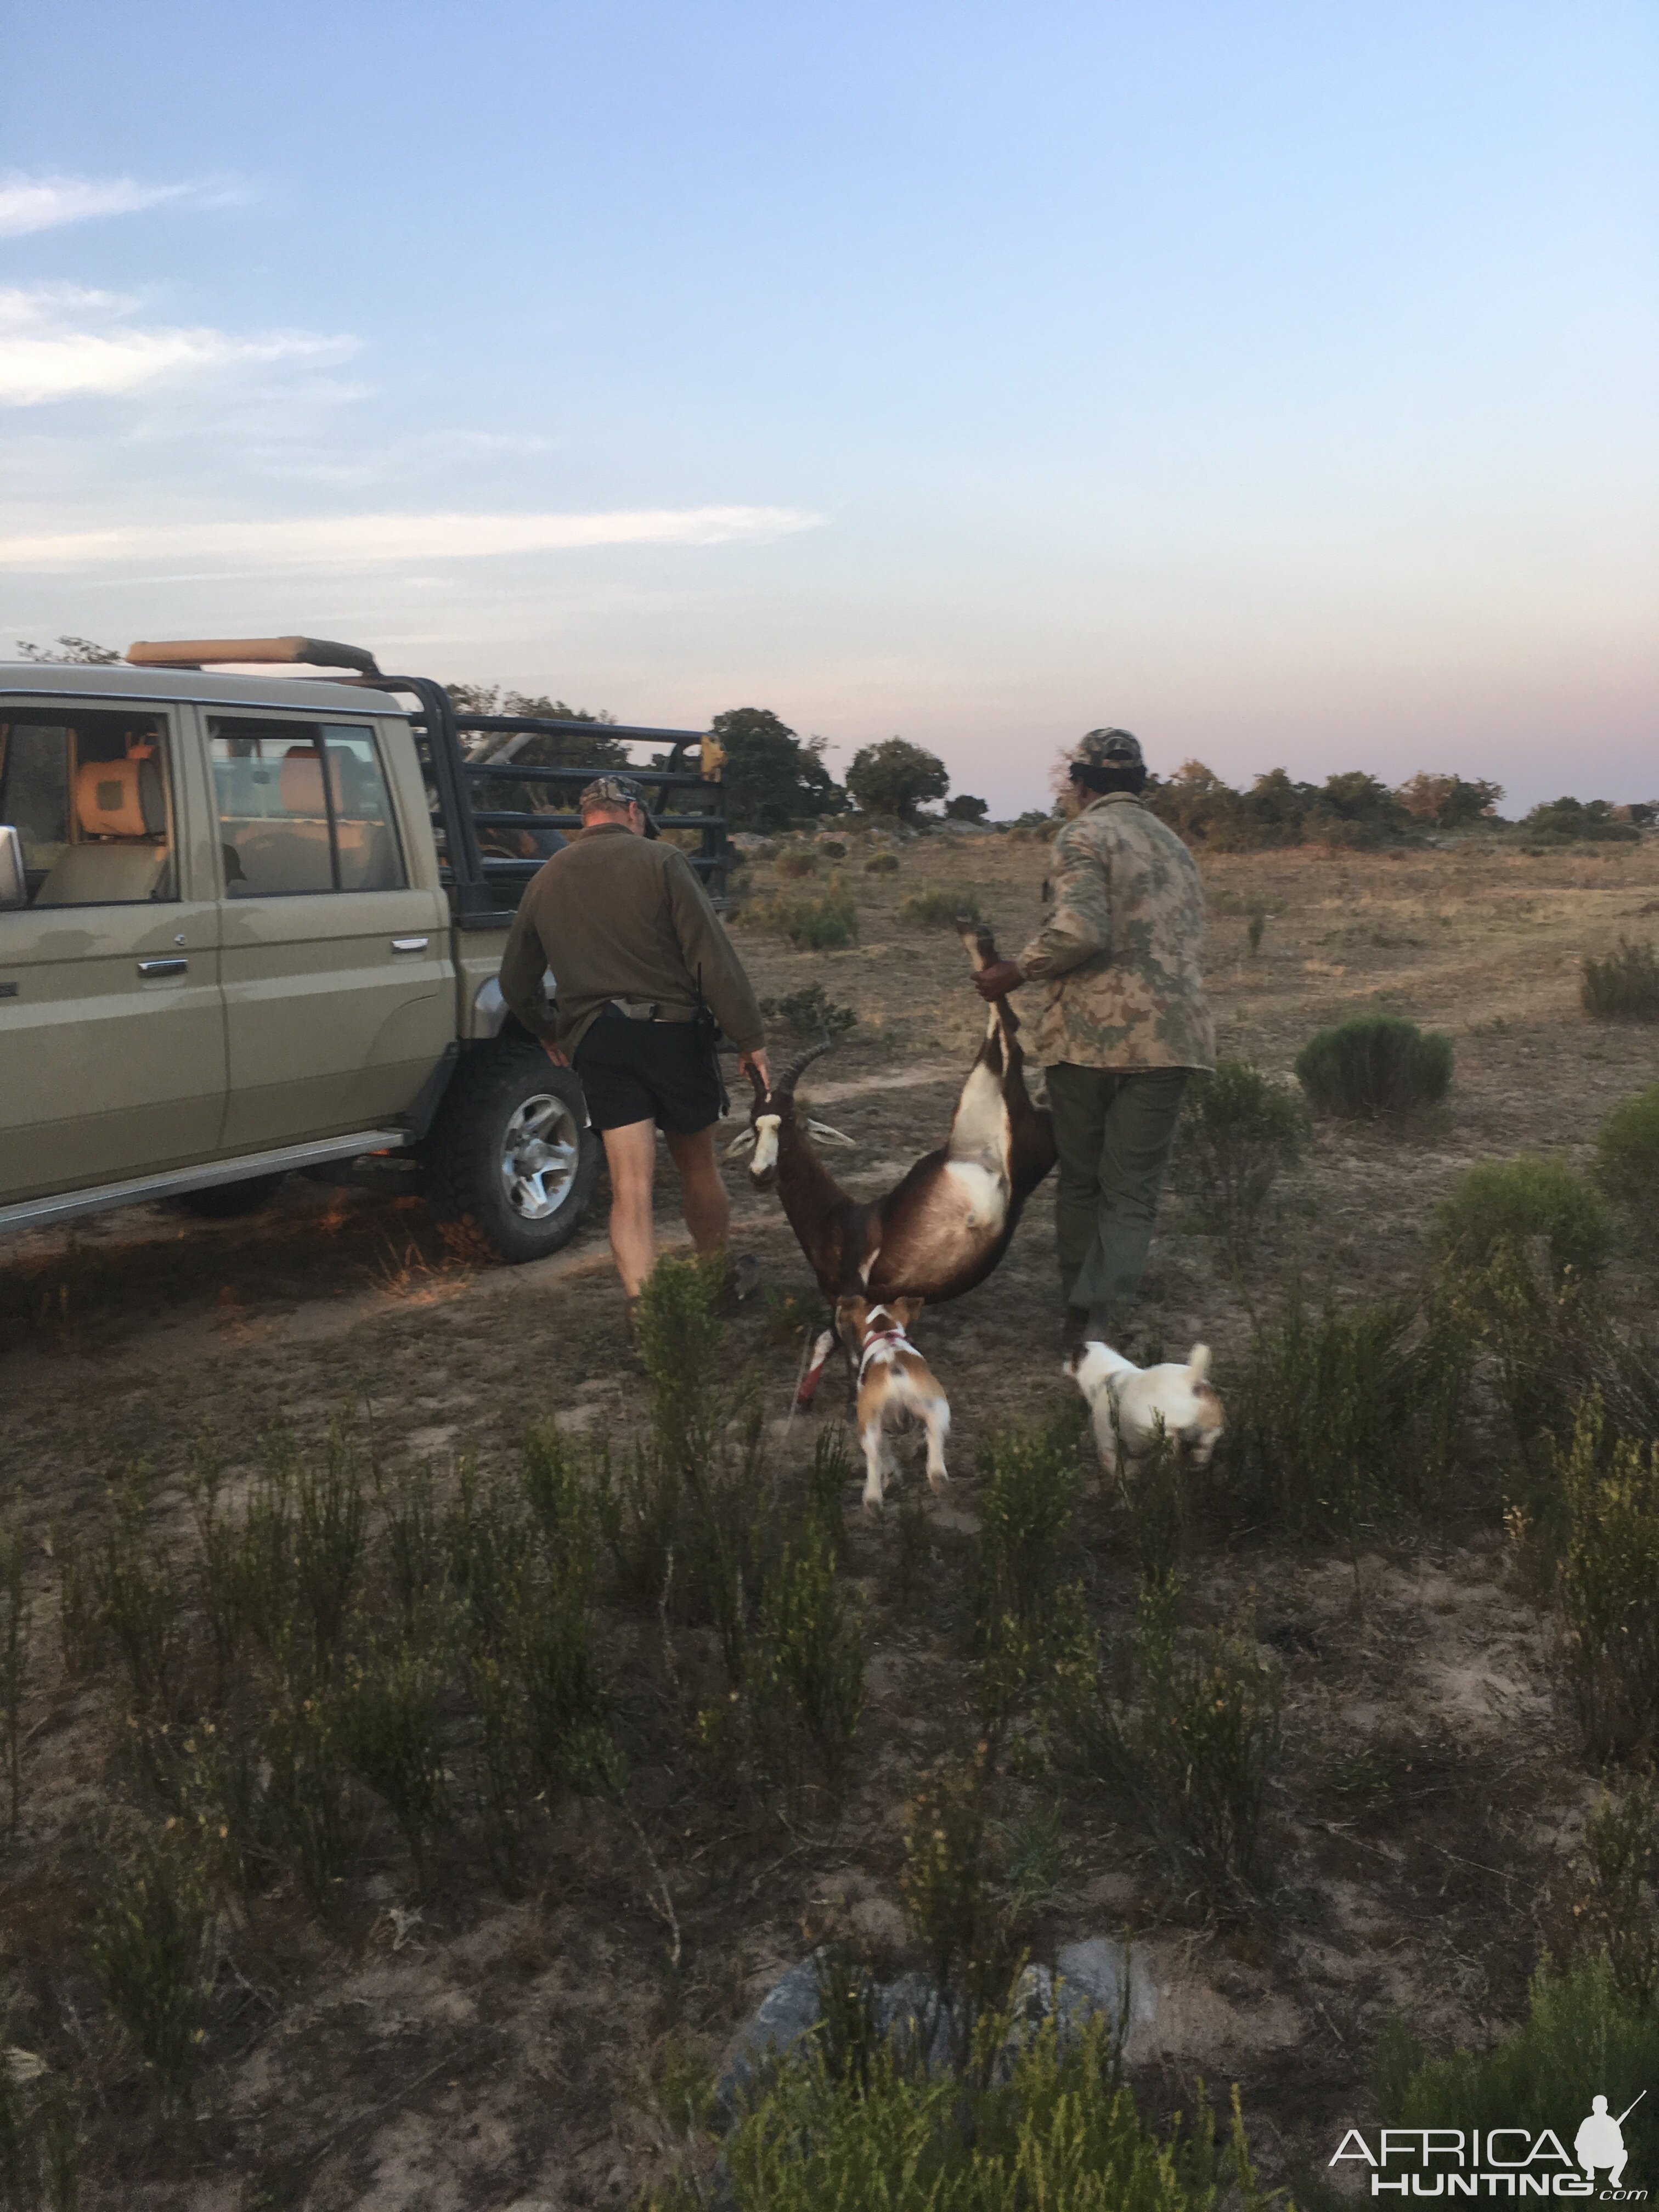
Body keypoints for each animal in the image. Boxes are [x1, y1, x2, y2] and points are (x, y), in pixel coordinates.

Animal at [836, 1291, 955, 1522]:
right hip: (937, 1407)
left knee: (875, 1458)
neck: (886, 1335)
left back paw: (874, 1498)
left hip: (869, 1425)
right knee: (934, 1439)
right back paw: (937, 1476)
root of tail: (894, 1369)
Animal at [1066, 1336, 1221, 1477]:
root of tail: (1190, 1380)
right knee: (1208, 1442)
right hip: (1209, 1427)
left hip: (1167, 1432)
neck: (1107, 1375)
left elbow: (1115, 1465)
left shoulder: (1106, 1440)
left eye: (1071, 1357)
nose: (1063, 1363)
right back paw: (1198, 1460)